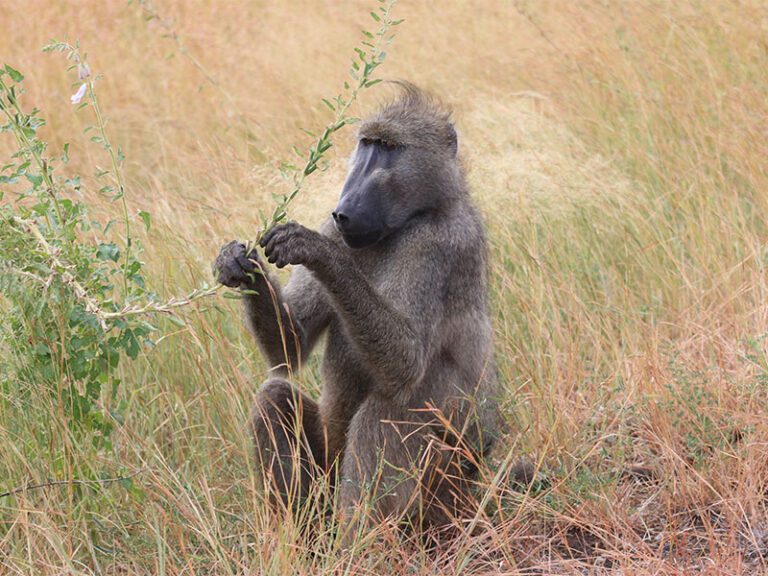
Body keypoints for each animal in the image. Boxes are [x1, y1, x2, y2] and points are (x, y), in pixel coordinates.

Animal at [214, 83, 500, 540]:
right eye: (366, 145)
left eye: (389, 148)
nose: (344, 208)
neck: (412, 217)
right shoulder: (336, 227)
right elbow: (289, 351)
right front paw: (240, 263)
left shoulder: (440, 243)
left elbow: (406, 362)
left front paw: (316, 251)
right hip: (331, 470)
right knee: (275, 397)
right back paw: (300, 539)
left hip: (445, 486)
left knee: (386, 414)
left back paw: (356, 546)